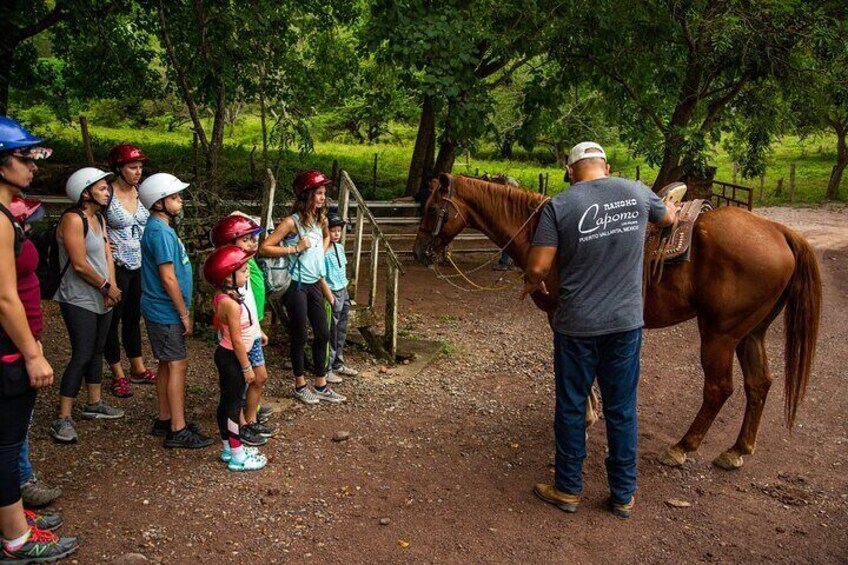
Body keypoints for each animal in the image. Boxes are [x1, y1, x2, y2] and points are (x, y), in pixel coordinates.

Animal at [414, 174, 820, 470]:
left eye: (433, 207)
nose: (419, 253)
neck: (544, 233)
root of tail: (780, 232)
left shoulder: (563, 314)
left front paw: (586, 415)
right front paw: (593, 411)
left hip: (720, 333)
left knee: (719, 388)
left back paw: (682, 447)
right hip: (751, 332)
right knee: (759, 384)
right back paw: (737, 450)